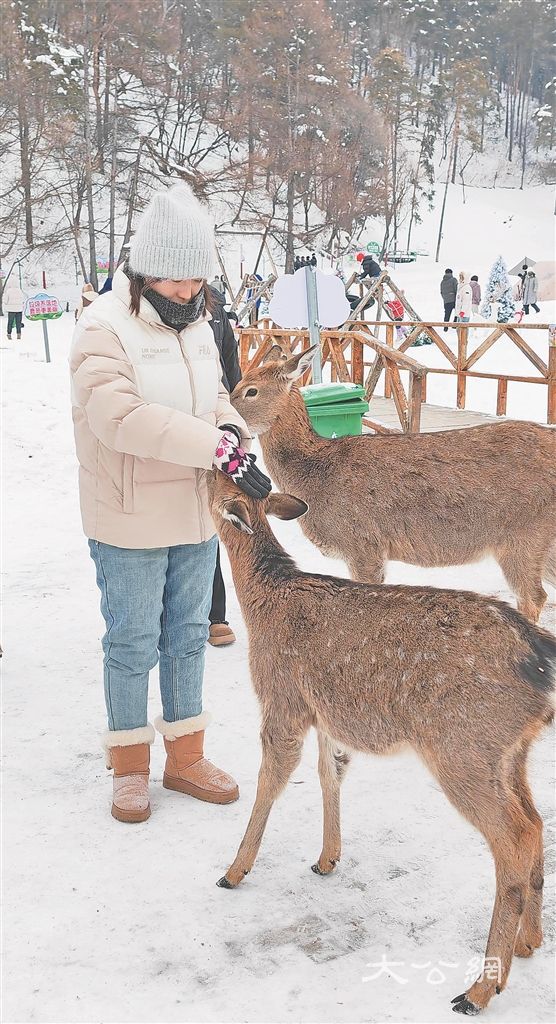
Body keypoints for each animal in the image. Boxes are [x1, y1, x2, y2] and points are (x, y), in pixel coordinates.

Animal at [209, 471, 556, 1015]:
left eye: (212, 479)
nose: (207, 463)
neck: (264, 601)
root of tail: (540, 663)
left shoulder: (282, 698)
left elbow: (271, 779)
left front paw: (234, 870)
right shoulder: (326, 713)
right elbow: (330, 771)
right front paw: (326, 858)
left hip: (462, 747)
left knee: (515, 836)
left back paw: (479, 989)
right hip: (511, 750)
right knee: (536, 821)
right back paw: (528, 942)